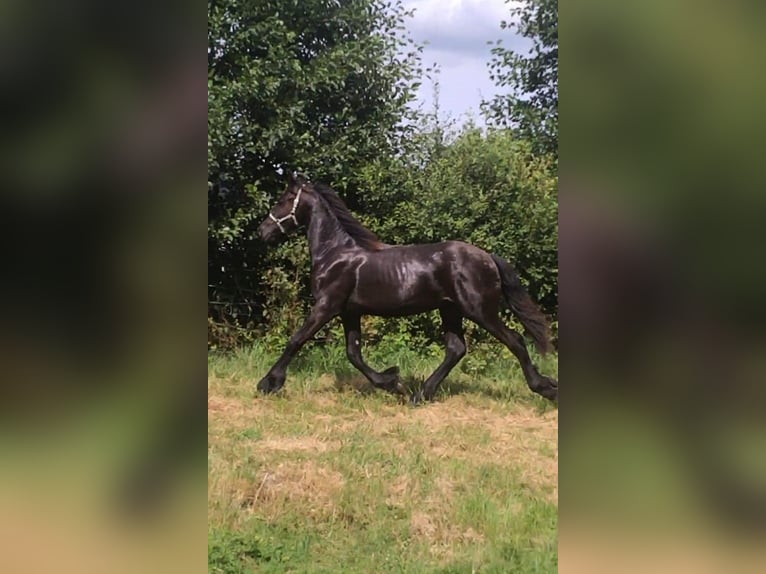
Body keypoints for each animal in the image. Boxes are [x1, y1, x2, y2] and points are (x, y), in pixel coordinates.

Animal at [258, 173, 560, 402]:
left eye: (285, 200)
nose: (262, 231)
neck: (334, 253)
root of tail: (488, 258)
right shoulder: (349, 312)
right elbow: (354, 354)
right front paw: (392, 382)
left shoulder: (326, 306)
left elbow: (296, 339)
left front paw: (268, 383)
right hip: (451, 310)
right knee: (456, 348)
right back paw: (420, 394)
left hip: (479, 310)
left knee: (515, 341)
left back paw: (546, 388)